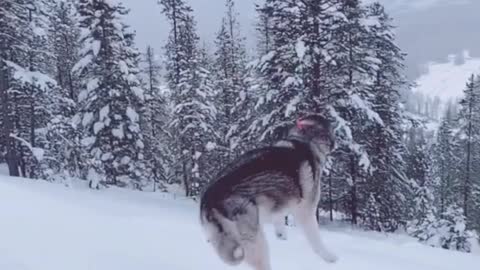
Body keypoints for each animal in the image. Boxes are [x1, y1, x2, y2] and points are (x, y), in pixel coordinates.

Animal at [199, 114, 338, 270]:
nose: (335, 144)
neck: (305, 141)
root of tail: (208, 199)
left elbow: (280, 220)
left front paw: (281, 235)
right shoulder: (306, 212)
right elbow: (316, 241)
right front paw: (330, 258)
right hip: (256, 241)